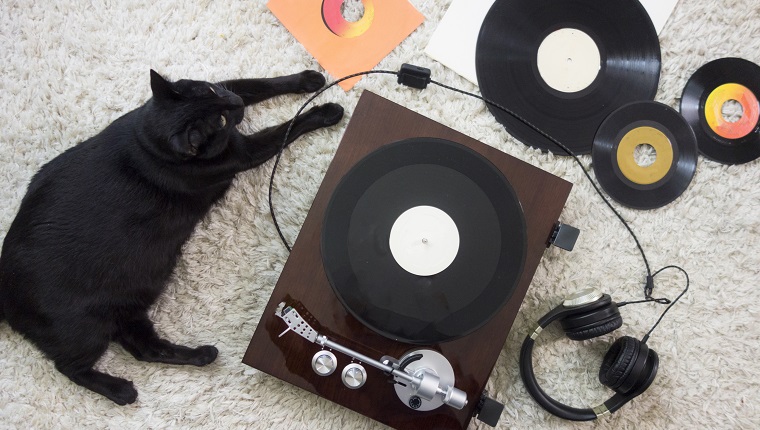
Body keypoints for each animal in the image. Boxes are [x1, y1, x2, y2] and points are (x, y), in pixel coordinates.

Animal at [0, 69, 342, 404]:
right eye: (219, 122)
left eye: (212, 92)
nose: (234, 106)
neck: (147, 142)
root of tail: (5, 295)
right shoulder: (244, 152)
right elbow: (288, 127)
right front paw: (327, 111)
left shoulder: (227, 85)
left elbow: (257, 83)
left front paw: (308, 79)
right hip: (87, 331)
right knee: (71, 368)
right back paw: (121, 391)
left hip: (130, 308)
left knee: (144, 349)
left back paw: (202, 355)